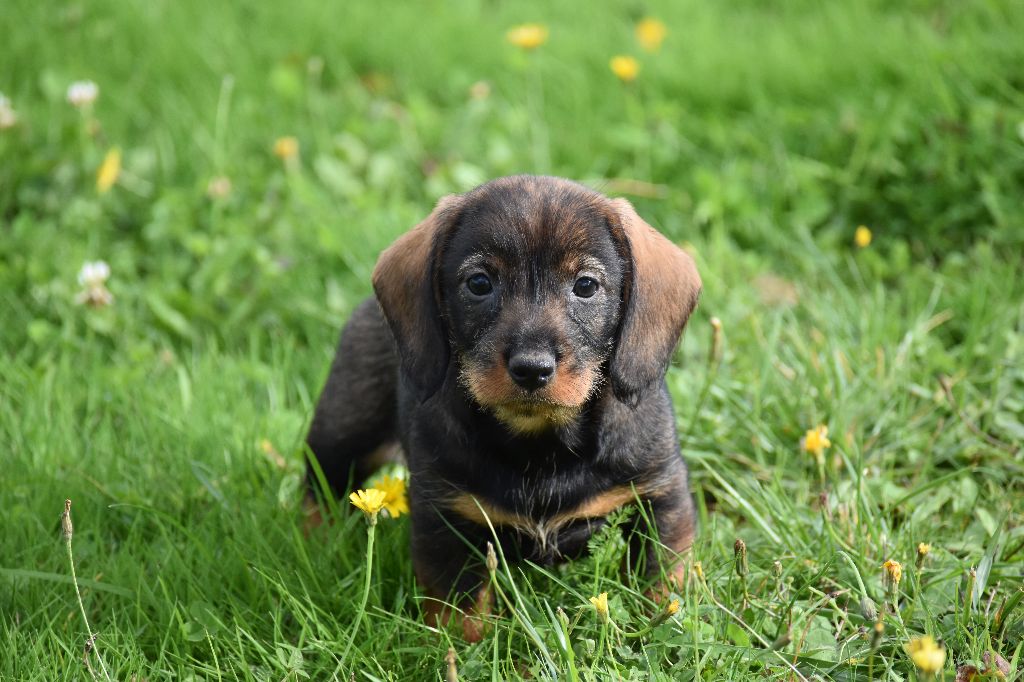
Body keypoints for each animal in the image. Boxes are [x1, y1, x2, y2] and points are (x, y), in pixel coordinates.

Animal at [307, 174, 700, 638]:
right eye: (479, 283)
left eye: (585, 285)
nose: (532, 369)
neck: (541, 443)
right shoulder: (447, 516)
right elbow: (460, 609)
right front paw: (461, 647)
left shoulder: (661, 495)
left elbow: (661, 575)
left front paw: (666, 626)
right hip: (345, 429)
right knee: (318, 485)